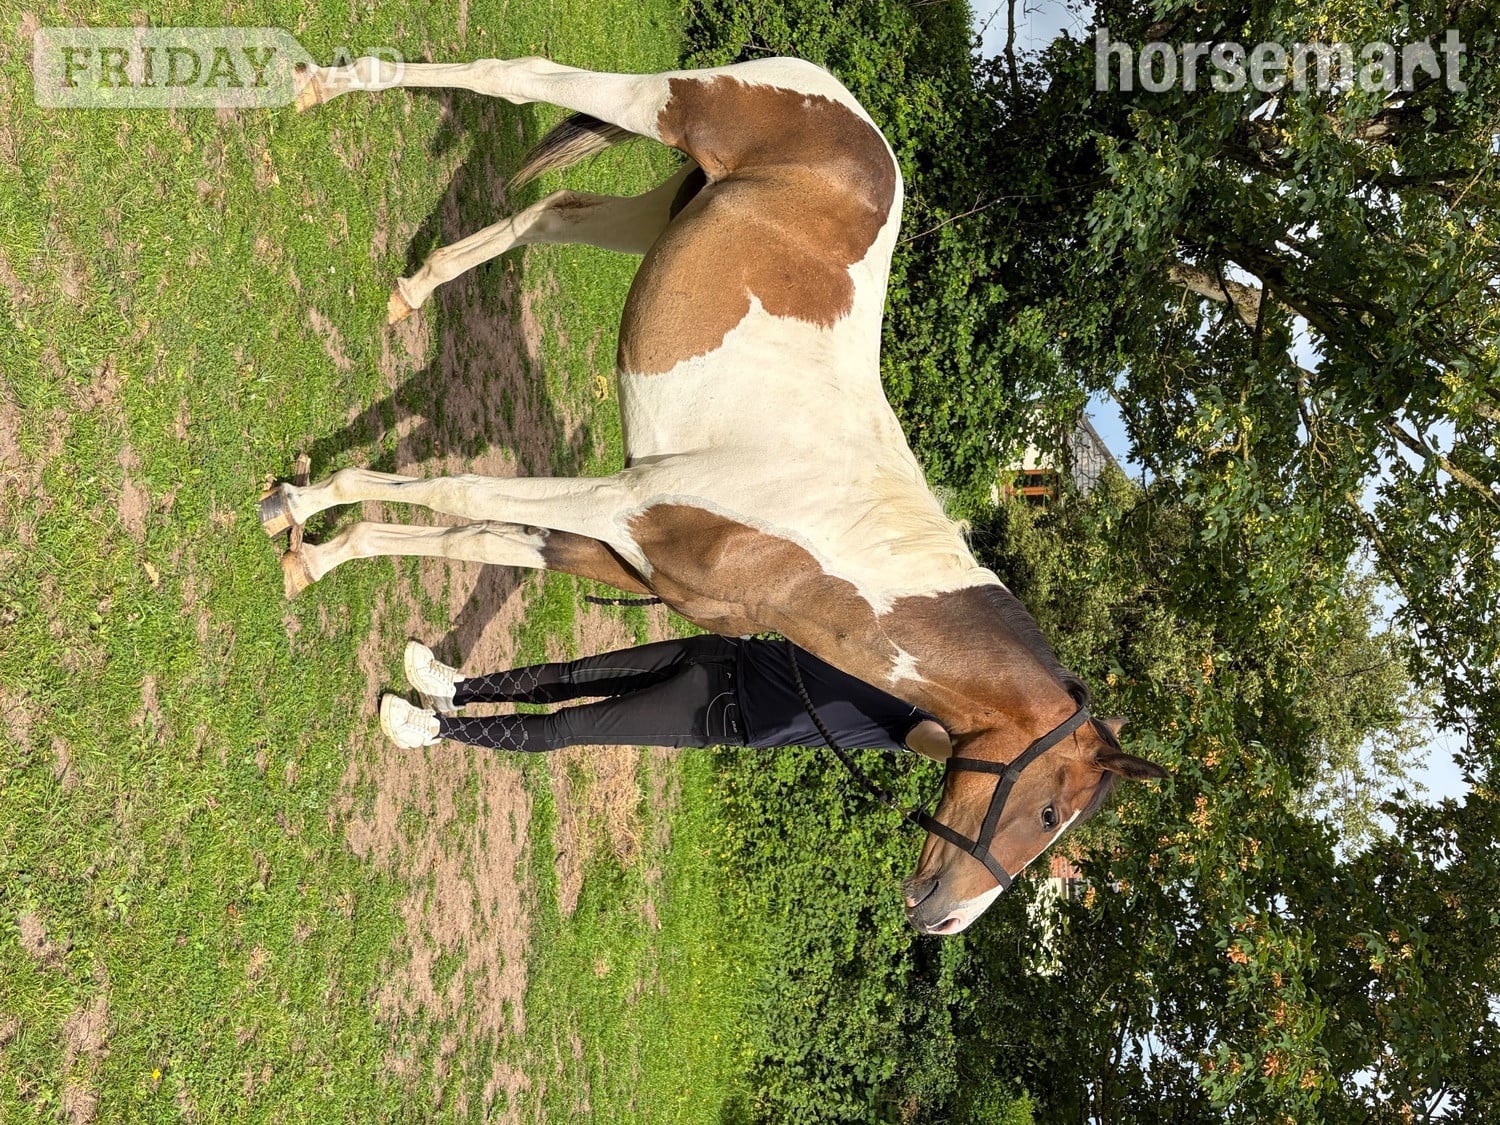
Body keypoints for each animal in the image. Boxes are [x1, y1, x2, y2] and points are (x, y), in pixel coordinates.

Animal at [261, 54, 1168, 934]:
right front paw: (299, 512)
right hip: (665, 108)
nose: (941, 918)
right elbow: (458, 493)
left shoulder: (622, 552)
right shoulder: (615, 500)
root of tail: (848, 111)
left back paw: (414, 288)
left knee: (552, 211)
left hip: (665, 210)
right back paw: (318, 88)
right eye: (1048, 813)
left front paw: (330, 562)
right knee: (515, 75)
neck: (833, 548)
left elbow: (470, 536)